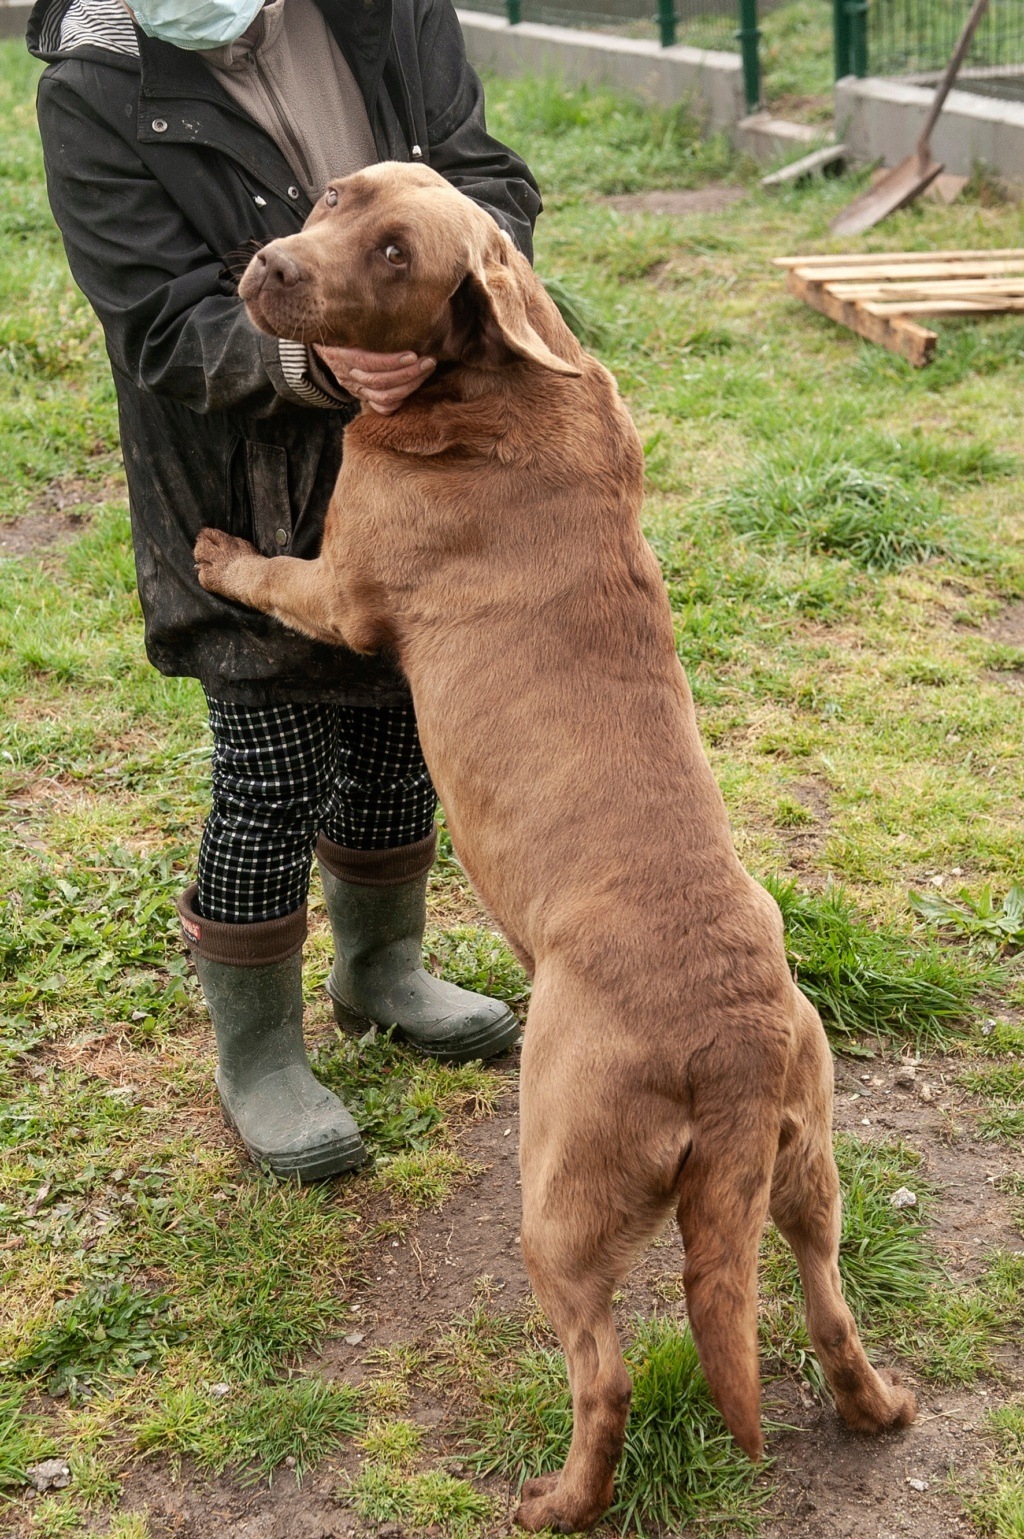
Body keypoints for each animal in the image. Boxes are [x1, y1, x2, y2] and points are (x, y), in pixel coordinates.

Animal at [194, 159, 917, 1539]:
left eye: (392, 251)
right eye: (332, 196)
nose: (265, 266)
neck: (499, 379)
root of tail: (731, 1038)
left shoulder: (344, 590)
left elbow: (273, 574)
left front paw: (216, 551)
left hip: (562, 1202)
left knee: (608, 1375)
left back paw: (555, 1503)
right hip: (807, 1171)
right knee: (826, 1307)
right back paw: (879, 1411)